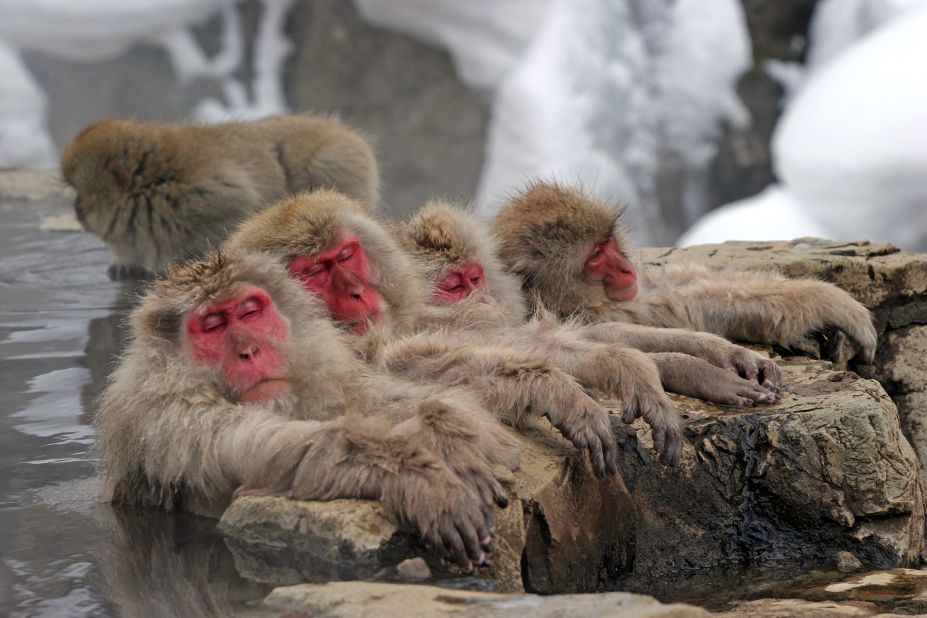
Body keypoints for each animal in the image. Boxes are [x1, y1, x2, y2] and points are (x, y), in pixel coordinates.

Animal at [61, 113, 380, 280]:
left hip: (337, 163)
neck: (153, 187)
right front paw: (126, 263)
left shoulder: (208, 196)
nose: (75, 210)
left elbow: (239, 207)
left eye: (80, 194)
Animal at [100, 248, 520, 572]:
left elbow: (371, 397)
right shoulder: (171, 418)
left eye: (250, 312)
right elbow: (269, 449)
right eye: (213, 325)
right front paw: (418, 477)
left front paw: (449, 434)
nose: (249, 351)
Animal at [492, 180, 876, 364]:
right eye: (596, 256)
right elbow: (684, 306)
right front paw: (828, 301)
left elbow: (675, 285)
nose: (625, 268)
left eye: (607, 242)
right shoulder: (599, 312)